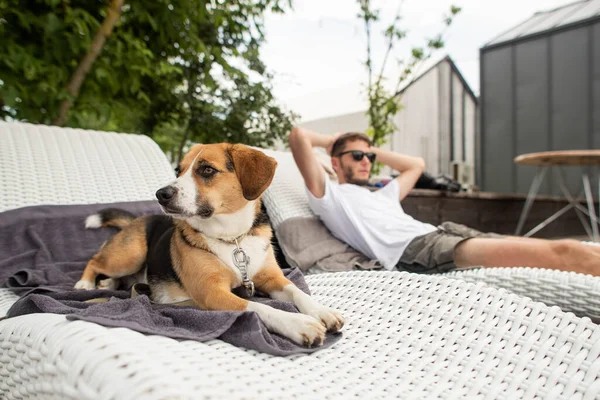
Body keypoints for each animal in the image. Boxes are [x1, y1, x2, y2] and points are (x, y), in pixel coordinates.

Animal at [75, 142, 344, 346]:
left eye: (206, 170)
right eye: (179, 170)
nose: (161, 194)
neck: (233, 238)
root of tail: (140, 219)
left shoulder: (271, 277)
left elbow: (297, 291)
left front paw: (322, 311)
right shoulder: (212, 292)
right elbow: (260, 308)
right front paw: (298, 323)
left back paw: (108, 283)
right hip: (131, 254)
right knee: (95, 261)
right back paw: (85, 283)